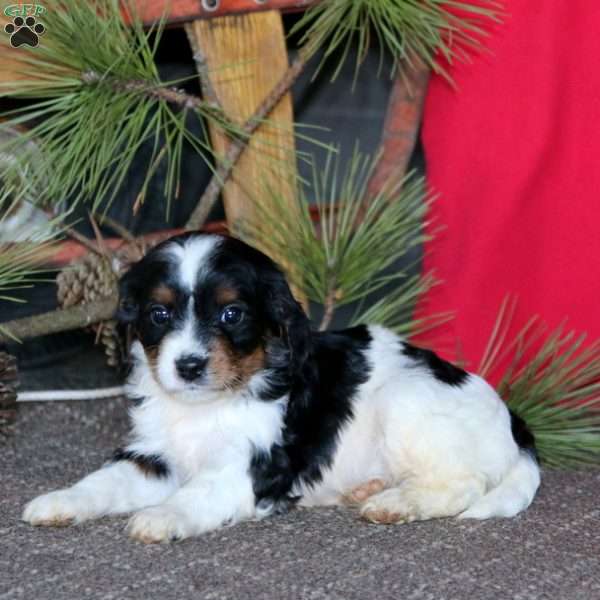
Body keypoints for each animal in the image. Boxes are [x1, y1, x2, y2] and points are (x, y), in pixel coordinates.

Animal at [22, 232, 540, 540]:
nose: (188, 365)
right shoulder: (152, 455)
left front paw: (160, 517)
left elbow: (193, 494)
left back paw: (394, 503)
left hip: (406, 400)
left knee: (462, 483)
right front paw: (59, 501)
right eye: (159, 314)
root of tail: (516, 425)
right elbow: (103, 481)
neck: (207, 404)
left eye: (232, 314)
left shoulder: (246, 466)